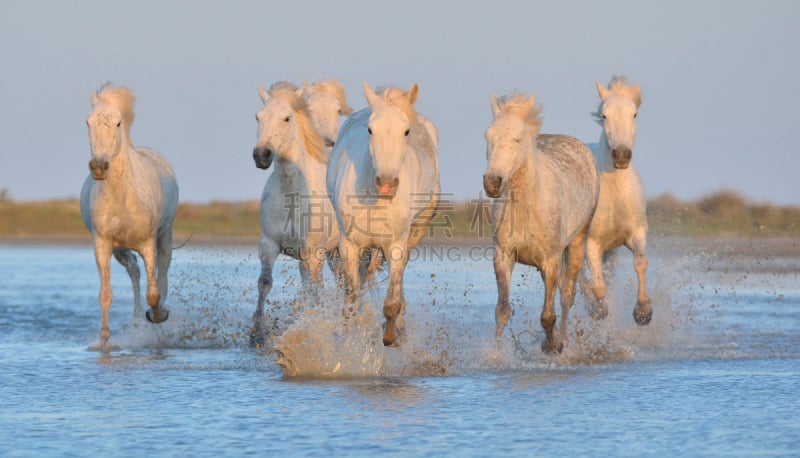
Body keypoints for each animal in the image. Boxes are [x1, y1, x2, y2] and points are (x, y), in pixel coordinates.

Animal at [79, 85, 177, 350]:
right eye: (88, 122)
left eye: (118, 123)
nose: (99, 166)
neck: (122, 197)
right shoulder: (103, 245)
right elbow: (105, 294)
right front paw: (104, 342)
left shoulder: (148, 243)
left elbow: (153, 293)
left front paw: (158, 316)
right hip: (120, 249)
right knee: (134, 271)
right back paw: (136, 320)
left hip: (164, 237)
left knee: (162, 273)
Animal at [252, 82, 342, 346]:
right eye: (258, 117)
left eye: (287, 118)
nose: (261, 155)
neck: (292, 193)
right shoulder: (269, 245)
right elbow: (264, 283)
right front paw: (256, 334)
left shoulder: (313, 254)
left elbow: (315, 291)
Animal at [326, 83, 444, 348]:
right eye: (370, 129)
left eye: (406, 131)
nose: (388, 184)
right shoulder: (349, 245)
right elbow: (351, 301)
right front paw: (348, 341)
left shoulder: (396, 246)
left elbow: (391, 302)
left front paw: (390, 335)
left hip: (414, 234)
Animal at [482, 92, 600, 350]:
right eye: (488, 136)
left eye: (517, 138)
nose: (492, 182)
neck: (528, 210)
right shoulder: (503, 256)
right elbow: (502, 311)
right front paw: (495, 353)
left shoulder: (551, 260)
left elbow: (548, 315)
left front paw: (552, 347)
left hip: (577, 243)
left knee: (567, 295)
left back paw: (563, 339)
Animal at [584, 76, 652, 326]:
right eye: (604, 115)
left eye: (635, 114)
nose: (621, 155)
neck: (614, 192)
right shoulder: (591, 243)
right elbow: (598, 285)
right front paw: (598, 310)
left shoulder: (636, 233)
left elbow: (640, 263)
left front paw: (643, 312)